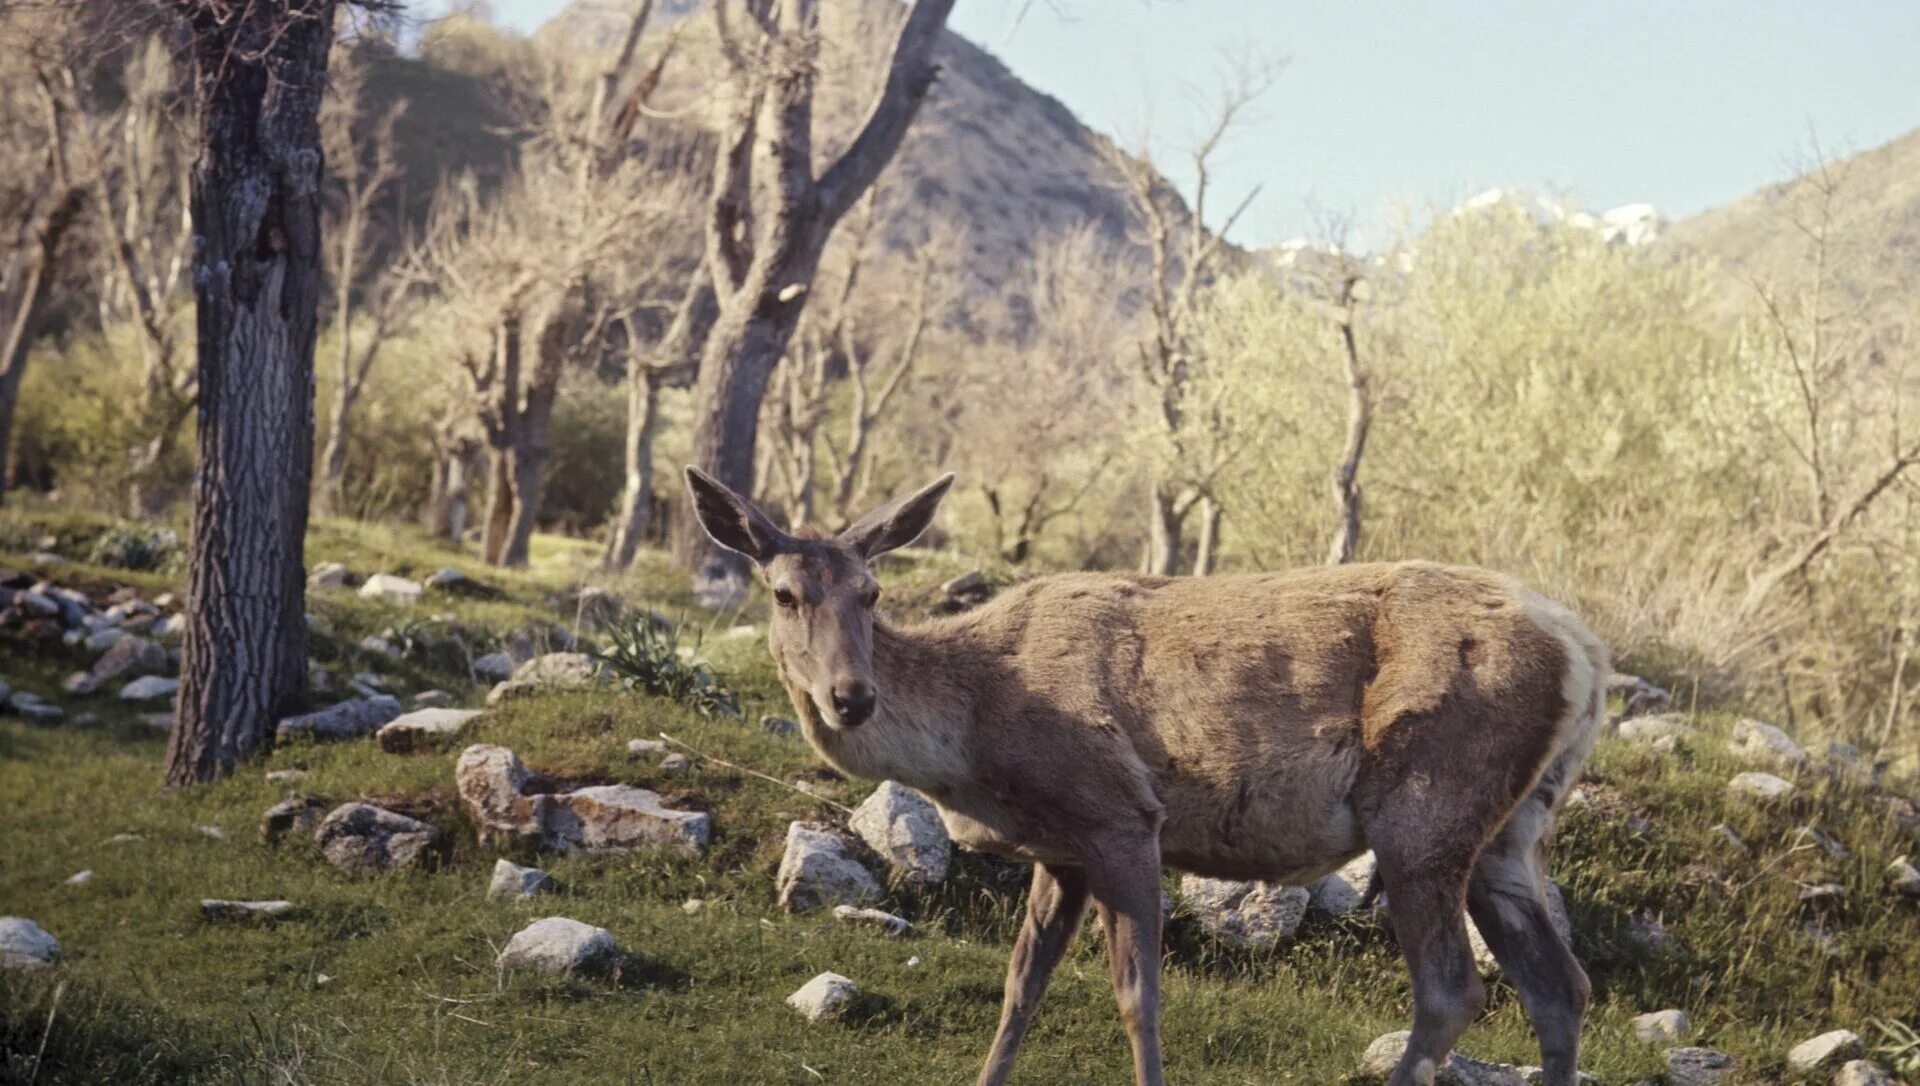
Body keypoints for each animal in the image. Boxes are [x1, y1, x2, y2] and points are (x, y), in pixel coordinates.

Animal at [687, 470, 1605, 1086]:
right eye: (784, 594)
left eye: (873, 593)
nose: (851, 696)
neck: (973, 743)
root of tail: (1586, 655)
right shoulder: (1057, 848)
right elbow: (1019, 988)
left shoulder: (1118, 811)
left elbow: (1138, 995)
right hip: (1511, 831)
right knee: (1560, 987)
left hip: (1426, 801)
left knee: (1452, 991)